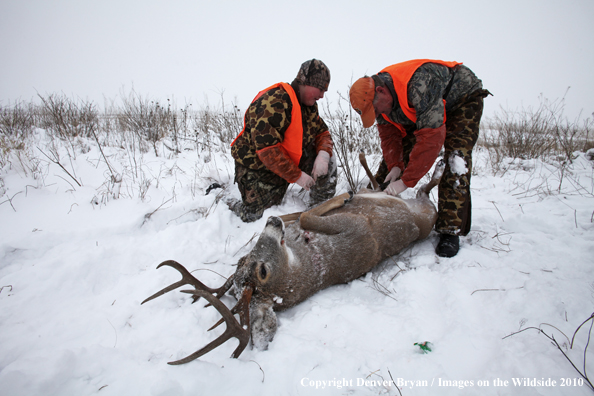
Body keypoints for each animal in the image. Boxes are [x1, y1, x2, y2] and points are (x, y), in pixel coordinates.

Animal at [141, 156, 442, 364]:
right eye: (261, 271)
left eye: (244, 259)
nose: (272, 221)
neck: (309, 253)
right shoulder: (358, 229)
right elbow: (308, 214)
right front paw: (345, 195)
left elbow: (300, 214)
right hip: (427, 213)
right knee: (424, 190)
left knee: (401, 187)